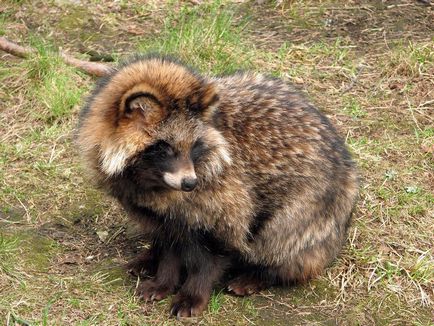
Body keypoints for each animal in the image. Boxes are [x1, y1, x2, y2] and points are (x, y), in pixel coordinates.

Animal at [77, 56, 360, 318]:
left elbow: (215, 251)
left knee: (279, 241)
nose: (190, 183)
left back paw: (263, 274)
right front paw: (164, 278)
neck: (150, 179)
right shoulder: (158, 210)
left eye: (194, 145)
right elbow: (170, 244)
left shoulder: (229, 198)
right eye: (164, 147)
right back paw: (151, 256)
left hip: (306, 212)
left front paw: (193, 292)